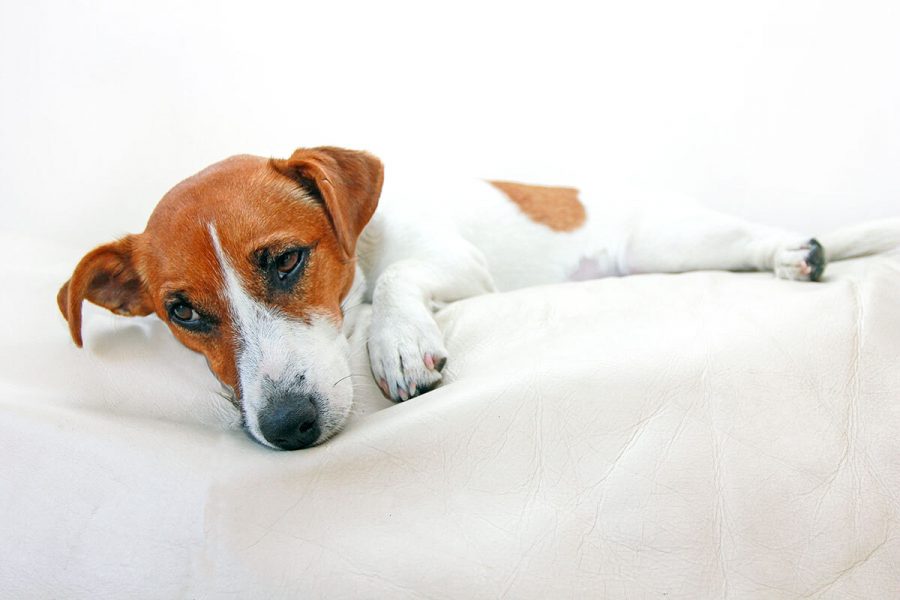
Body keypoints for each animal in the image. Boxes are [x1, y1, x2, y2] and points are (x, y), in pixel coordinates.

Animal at [58, 146, 900, 450]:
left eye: (288, 260)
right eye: (183, 313)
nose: (289, 428)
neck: (364, 243)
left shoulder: (453, 263)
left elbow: (399, 283)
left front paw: (397, 339)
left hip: (672, 242)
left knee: (761, 238)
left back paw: (797, 251)